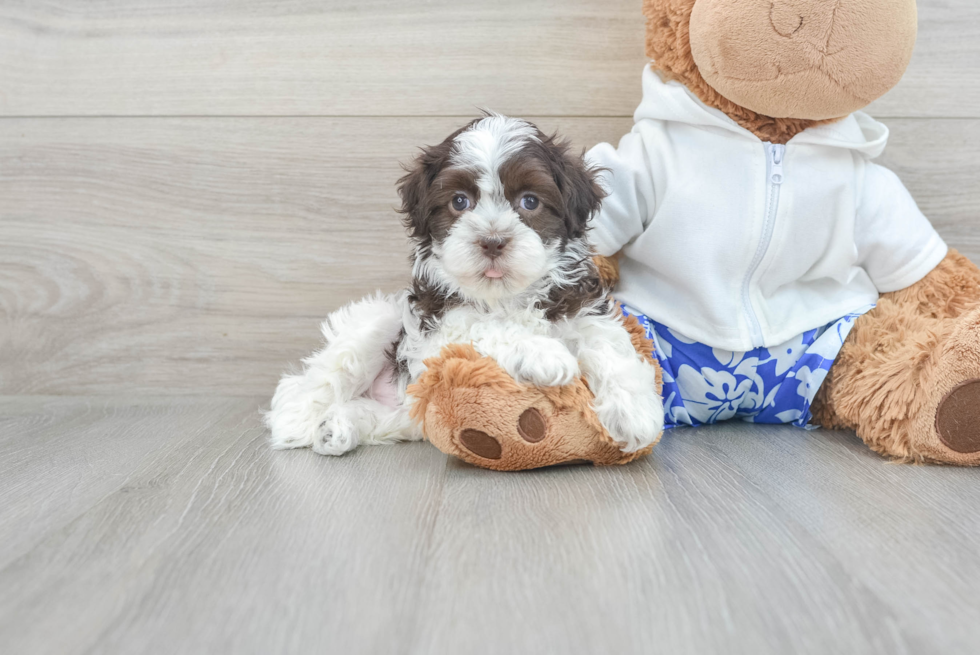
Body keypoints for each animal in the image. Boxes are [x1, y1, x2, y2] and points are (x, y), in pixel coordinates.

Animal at [268, 114, 664, 456]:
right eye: (460, 201)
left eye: (530, 201)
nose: (492, 241)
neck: (505, 296)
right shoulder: (439, 332)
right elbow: (487, 326)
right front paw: (543, 353)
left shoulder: (579, 304)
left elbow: (608, 343)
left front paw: (635, 414)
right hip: (378, 322)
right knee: (317, 381)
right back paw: (299, 422)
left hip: (409, 411)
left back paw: (338, 426)